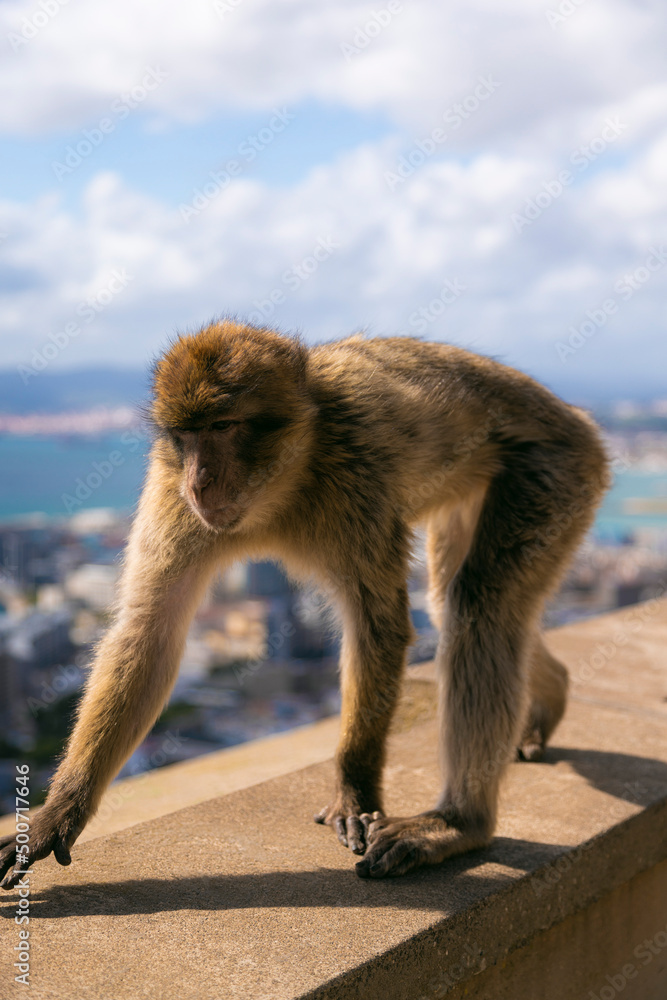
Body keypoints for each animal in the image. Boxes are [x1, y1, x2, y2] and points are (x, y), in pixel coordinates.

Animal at [0, 320, 609, 887]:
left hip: (555, 473)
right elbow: (150, 630)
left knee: (478, 605)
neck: (285, 480)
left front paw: (355, 787)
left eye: (222, 427)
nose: (200, 481)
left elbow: (378, 624)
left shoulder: (359, 477)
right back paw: (550, 699)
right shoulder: (171, 493)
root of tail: (578, 421)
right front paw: (59, 812)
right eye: (186, 435)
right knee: (455, 603)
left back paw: (460, 823)